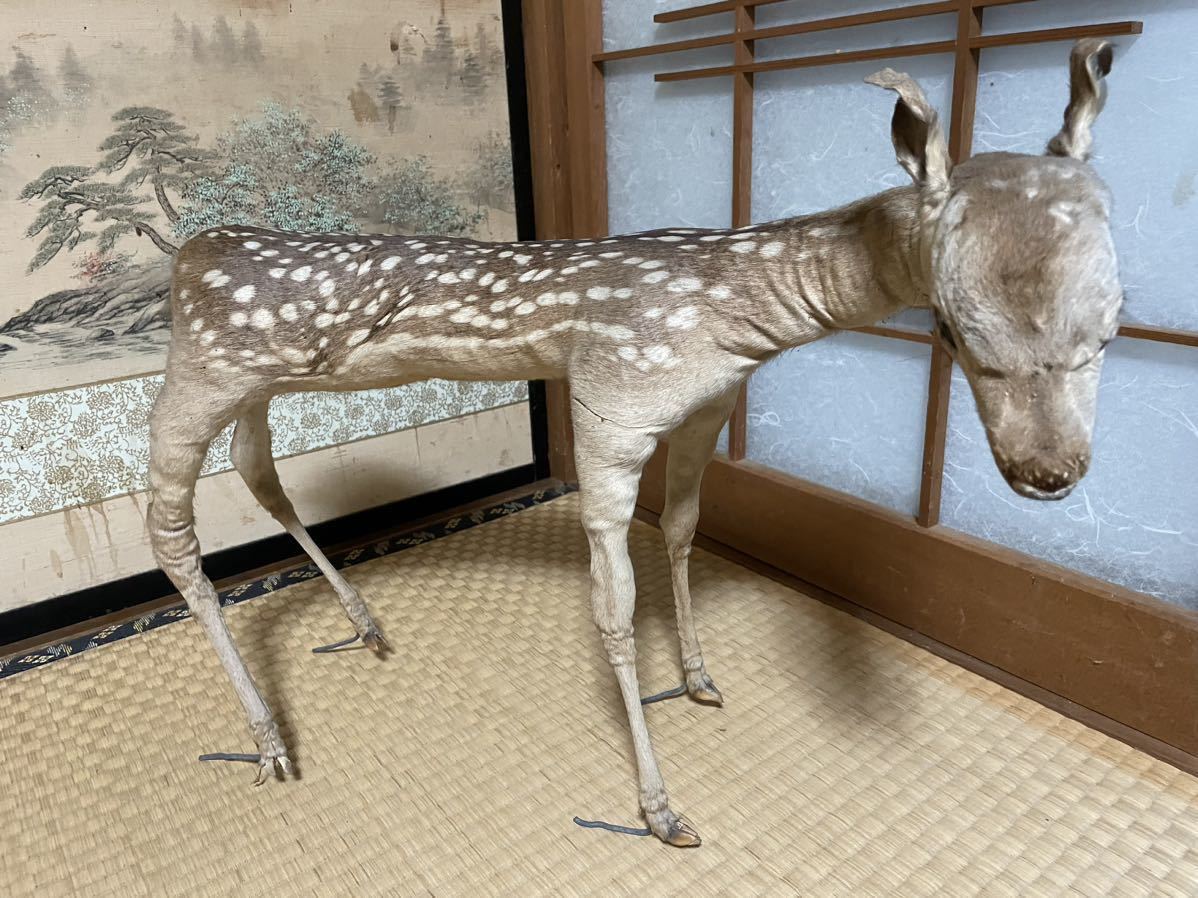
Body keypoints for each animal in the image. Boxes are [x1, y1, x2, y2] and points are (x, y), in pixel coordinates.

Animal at [147, 40, 1123, 847]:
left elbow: (684, 530)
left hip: (257, 384)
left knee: (260, 474)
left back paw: (363, 623)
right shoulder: (612, 402)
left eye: (1113, 322)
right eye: (957, 330)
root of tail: (186, 255)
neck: (740, 327)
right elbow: (612, 606)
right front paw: (659, 810)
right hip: (197, 375)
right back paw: (268, 741)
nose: (1050, 473)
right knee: (171, 532)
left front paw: (697, 677)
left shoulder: (703, 408)